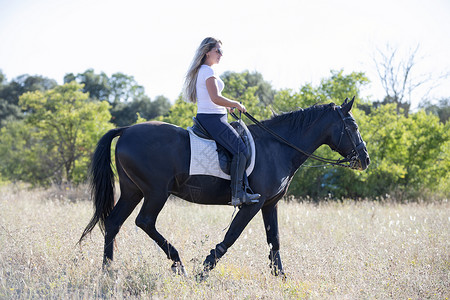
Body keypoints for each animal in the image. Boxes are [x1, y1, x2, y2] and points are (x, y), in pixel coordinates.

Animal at [80, 99, 370, 278]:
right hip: (156, 193)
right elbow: (230, 238)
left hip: (133, 191)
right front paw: (204, 271)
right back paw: (179, 264)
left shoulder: (270, 204)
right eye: (353, 126)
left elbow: (274, 240)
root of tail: (127, 130)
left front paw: (281, 277)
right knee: (145, 222)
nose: (365, 159)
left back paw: (107, 271)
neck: (277, 147)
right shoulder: (252, 204)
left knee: (114, 222)